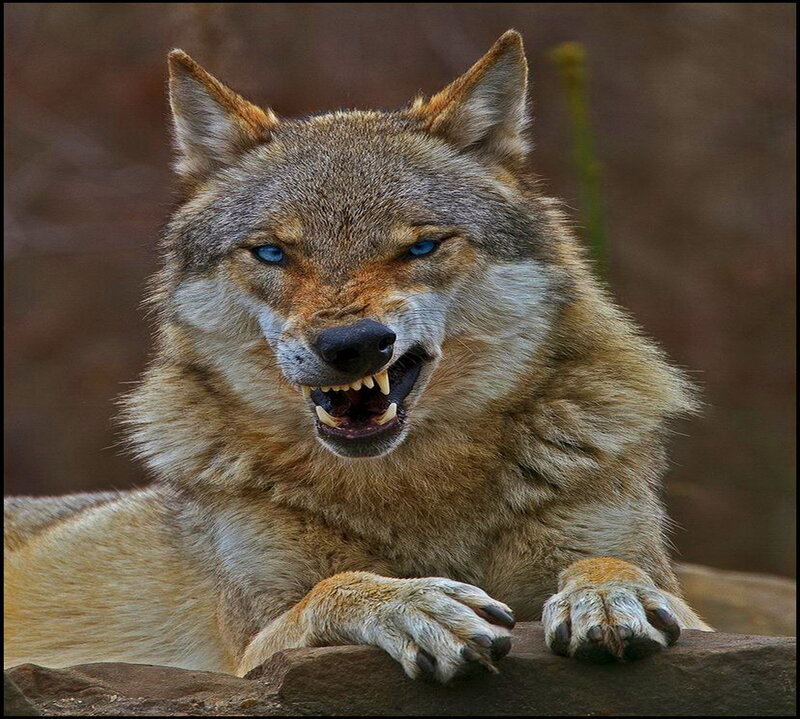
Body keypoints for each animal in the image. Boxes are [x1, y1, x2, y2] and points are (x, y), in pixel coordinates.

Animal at [4, 31, 711, 682]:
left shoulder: (683, 604)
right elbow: (336, 585)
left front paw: (609, 593)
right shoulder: (247, 653)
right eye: (272, 253)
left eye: (421, 247)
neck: (412, 488)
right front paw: (411, 602)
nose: (352, 345)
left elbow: (616, 563)